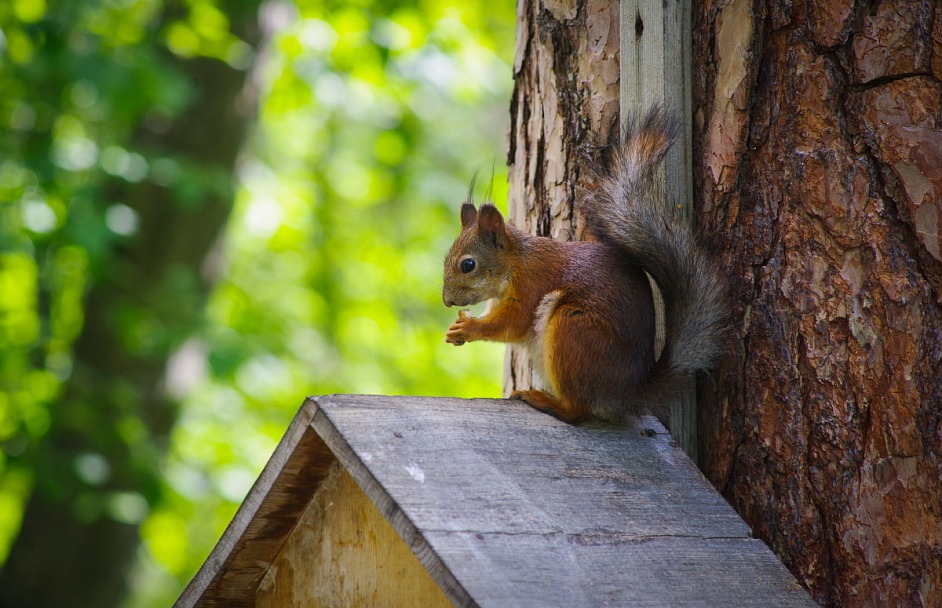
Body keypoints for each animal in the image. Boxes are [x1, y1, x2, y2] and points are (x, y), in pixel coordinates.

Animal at [444, 105, 732, 422]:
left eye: (468, 265)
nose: (447, 301)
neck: (515, 263)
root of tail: (626, 395)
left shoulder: (533, 282)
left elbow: (513, 322)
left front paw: (469, 327)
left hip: (572, 329)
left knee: (578, 411)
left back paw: (547, 401)